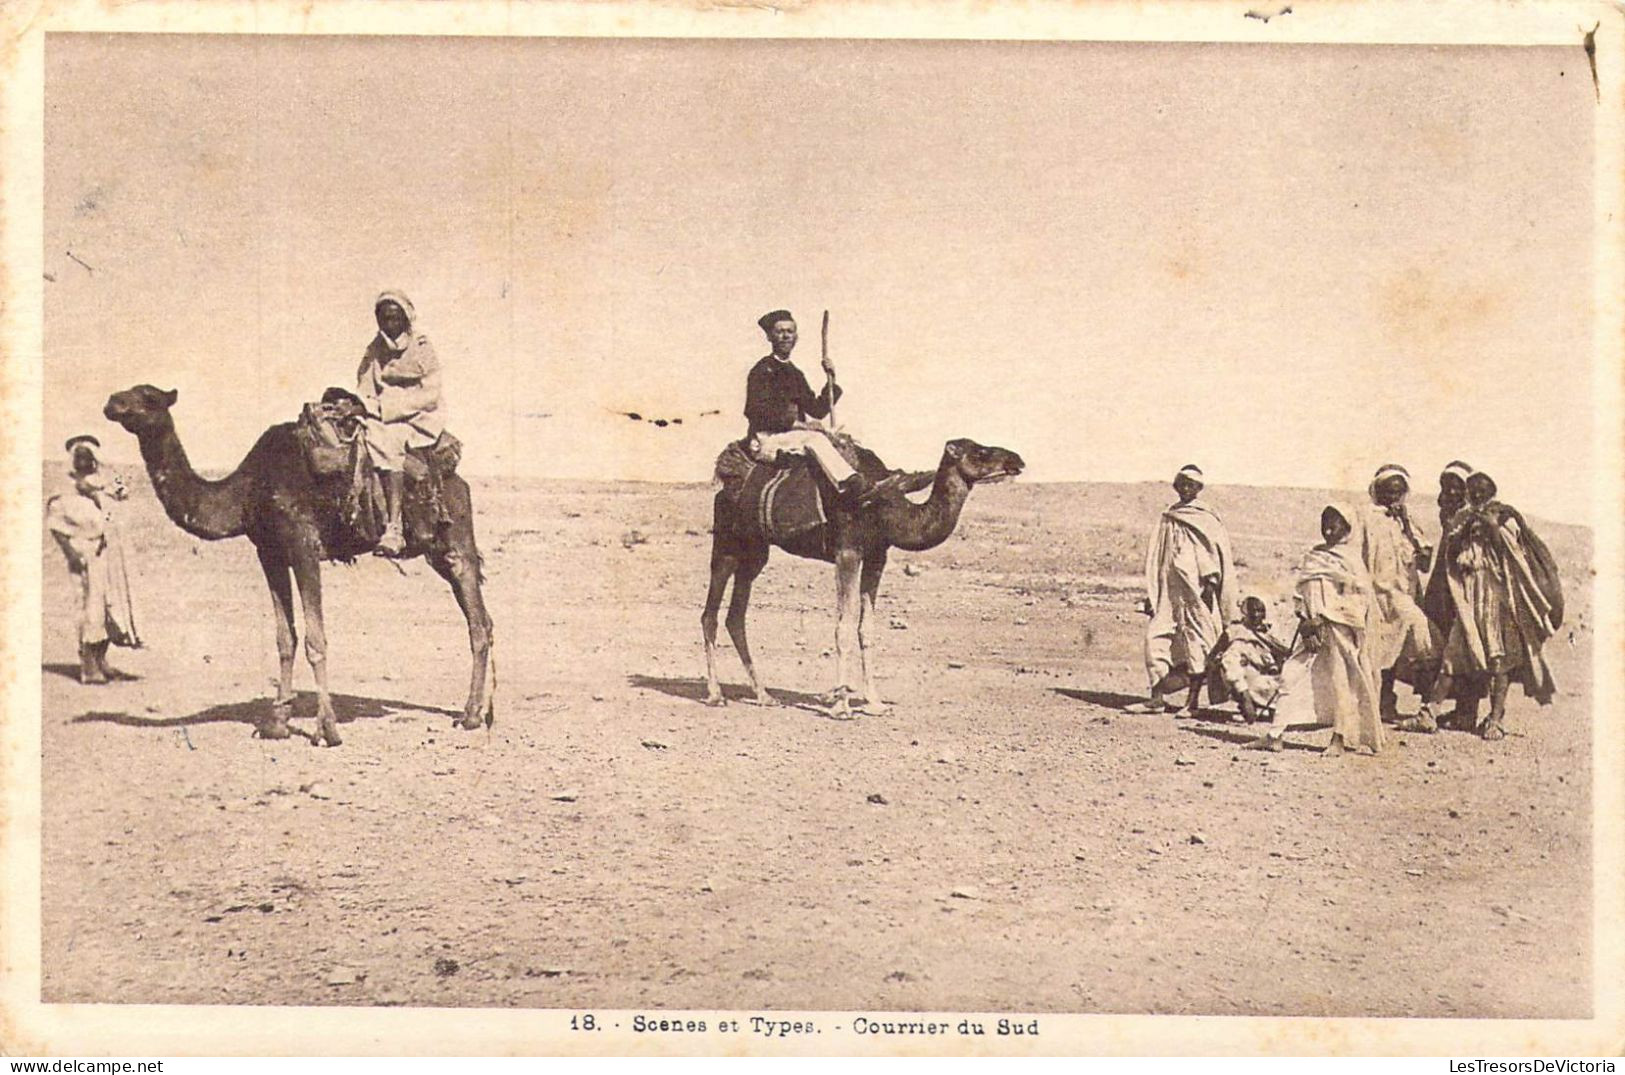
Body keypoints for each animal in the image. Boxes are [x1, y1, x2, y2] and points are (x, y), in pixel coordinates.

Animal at [104, 388, 490, 750]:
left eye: (148, 397)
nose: (112, 403)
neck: (248, 490)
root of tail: (456, 477)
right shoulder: (270, 552)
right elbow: (285, 638)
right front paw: (276, 723)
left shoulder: (304, 545)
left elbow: (315, 640)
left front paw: (327, 730)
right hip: (437, 552)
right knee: (481, 621)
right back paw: (474, 713)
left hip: (455, 541)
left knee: (478, 622)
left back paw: (470, 716)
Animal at [705, 438, 1020, 724]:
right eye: (980, 451)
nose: (1017, 460)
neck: (886, 509)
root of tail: (725, 487)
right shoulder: (847, 552)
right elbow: (843, 627)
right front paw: (842, 706)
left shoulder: (876, 557)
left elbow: (866, 629)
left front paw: (875, 703)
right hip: (726, 544)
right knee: (710, 613)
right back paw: (716, 695)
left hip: (756, 552)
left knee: (736, 616)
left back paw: (764, 695)